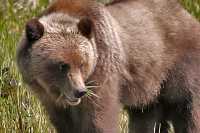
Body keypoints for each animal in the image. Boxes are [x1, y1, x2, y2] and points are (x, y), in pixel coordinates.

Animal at [16, 0, 200, 133]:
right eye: (63, 65)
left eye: (82, 63)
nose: (79, 91)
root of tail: (188, 15)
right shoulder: (52, 102)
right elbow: (65, 124)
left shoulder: (102, 73)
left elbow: (99, 119)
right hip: (149, 89)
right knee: (146, 119)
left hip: (178, 67)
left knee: (187, 110)